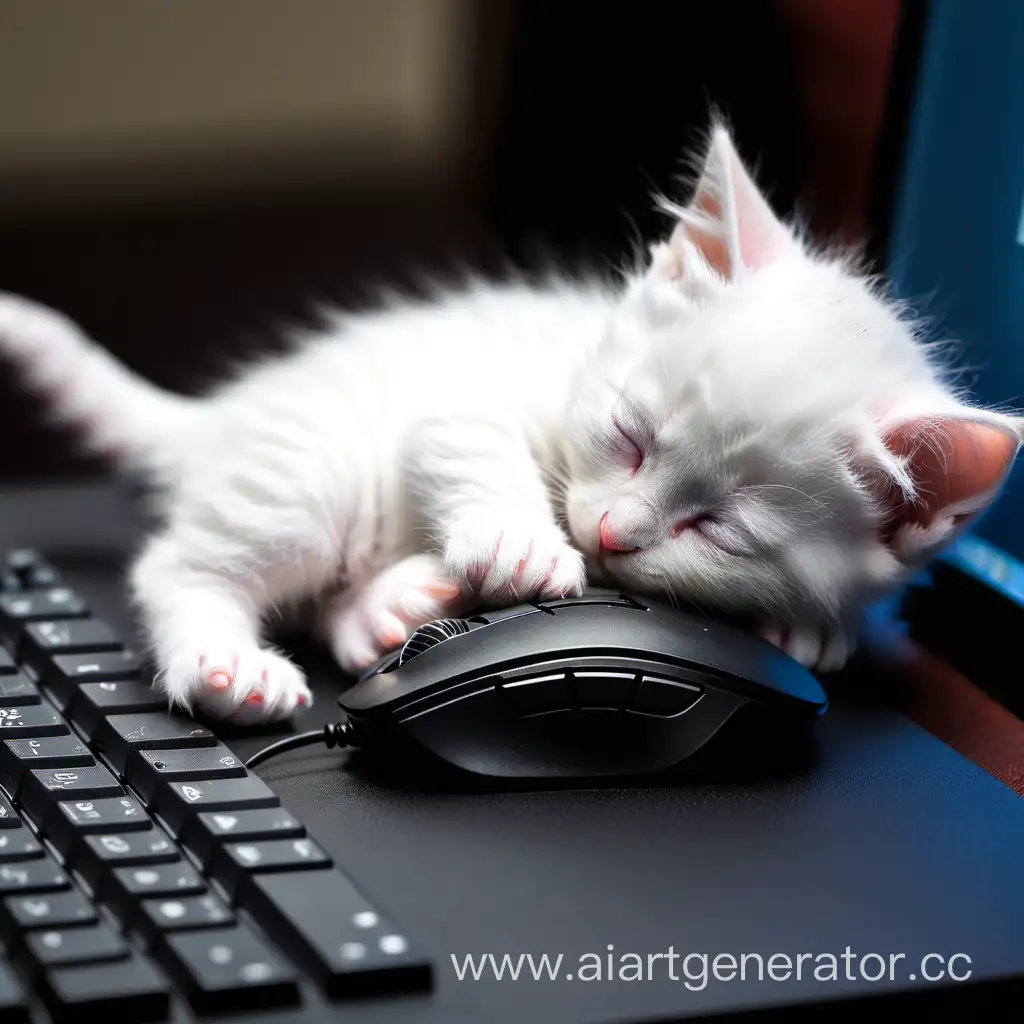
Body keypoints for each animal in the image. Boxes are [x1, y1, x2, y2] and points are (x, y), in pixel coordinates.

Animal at [2, 123, 1024, 724]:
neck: (581, 354)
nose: (610, 532)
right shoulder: (469, 390)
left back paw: (392, 608)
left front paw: (809, 630)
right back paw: (229, 660)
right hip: (310, 475)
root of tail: (224, 419)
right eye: (627, 434)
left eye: (719, 529)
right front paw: (518, 545)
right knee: (178, 567)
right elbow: (465, 440)